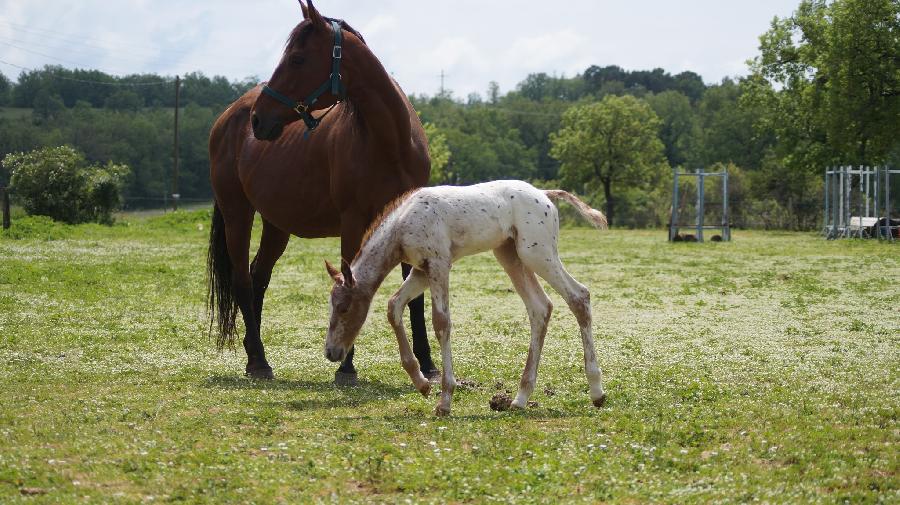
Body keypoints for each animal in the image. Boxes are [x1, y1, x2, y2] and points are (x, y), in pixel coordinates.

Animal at [208, 0, 440, 380]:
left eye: (298, 59)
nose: (258, 119)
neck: (390, 141)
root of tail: (228, 117)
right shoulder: (353, 221)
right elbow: (350, 281)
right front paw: (346, 368)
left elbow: (414, 294)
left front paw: (428, 364)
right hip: (237, 215)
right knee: (242, 279)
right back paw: (259, 361)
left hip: (276, 225)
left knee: (258, 276)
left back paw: (254, 353)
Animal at [320, 179, 608, 416]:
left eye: (343, 308)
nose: (331, 352)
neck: (402, 224)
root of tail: (545, 194)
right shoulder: (421, 271)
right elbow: (394, 306)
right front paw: (421, 383)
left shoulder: (439, 265)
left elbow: (441, 322)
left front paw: (445, 400)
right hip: (510, 256)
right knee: (540, 308)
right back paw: (520, 398)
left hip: (537, 253)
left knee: (579, 296)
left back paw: (596, 391)